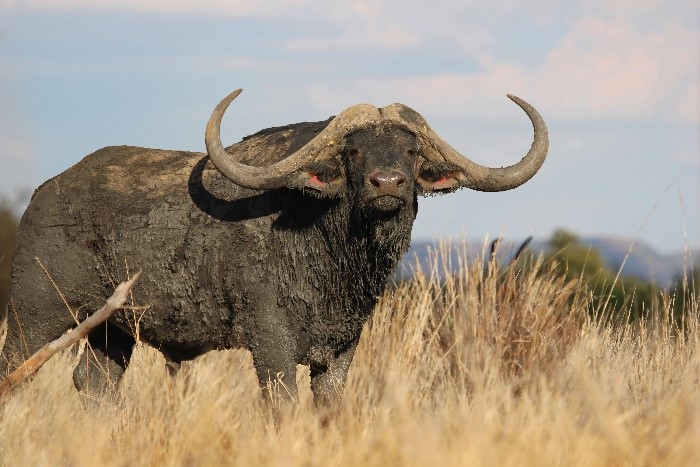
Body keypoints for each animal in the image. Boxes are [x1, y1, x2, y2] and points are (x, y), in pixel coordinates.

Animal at [1, 89, 548, 404]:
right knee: (16, 371)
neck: (330, 254)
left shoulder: (341, 352)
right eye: (353, 150)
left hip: (112, 331)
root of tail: (44, 193)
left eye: (411, 151)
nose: (387, 184)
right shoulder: (272, 345)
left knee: (94, 385)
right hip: (36, 315)